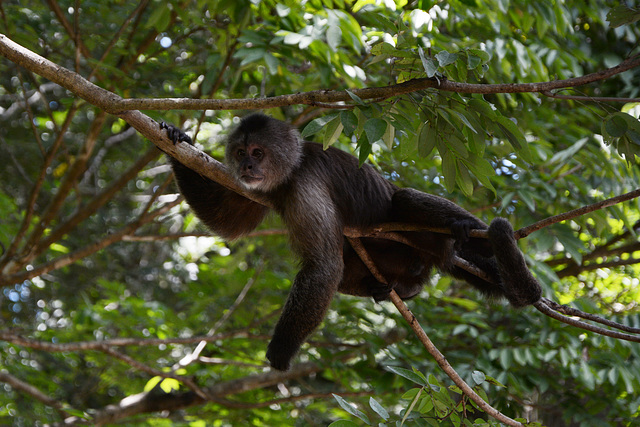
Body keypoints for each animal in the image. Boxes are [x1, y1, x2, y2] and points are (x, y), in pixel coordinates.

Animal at [160, 113, 540, 372]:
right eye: (240, 153)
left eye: (257, 152)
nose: (248, 166)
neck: (291, 169)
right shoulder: (261, 187)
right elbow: (230, 222)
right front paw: (178, 140)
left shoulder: (305, 184)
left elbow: (323, 266)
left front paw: (280, 351)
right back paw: (396, 289)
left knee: (404, 201)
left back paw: (471, 234)